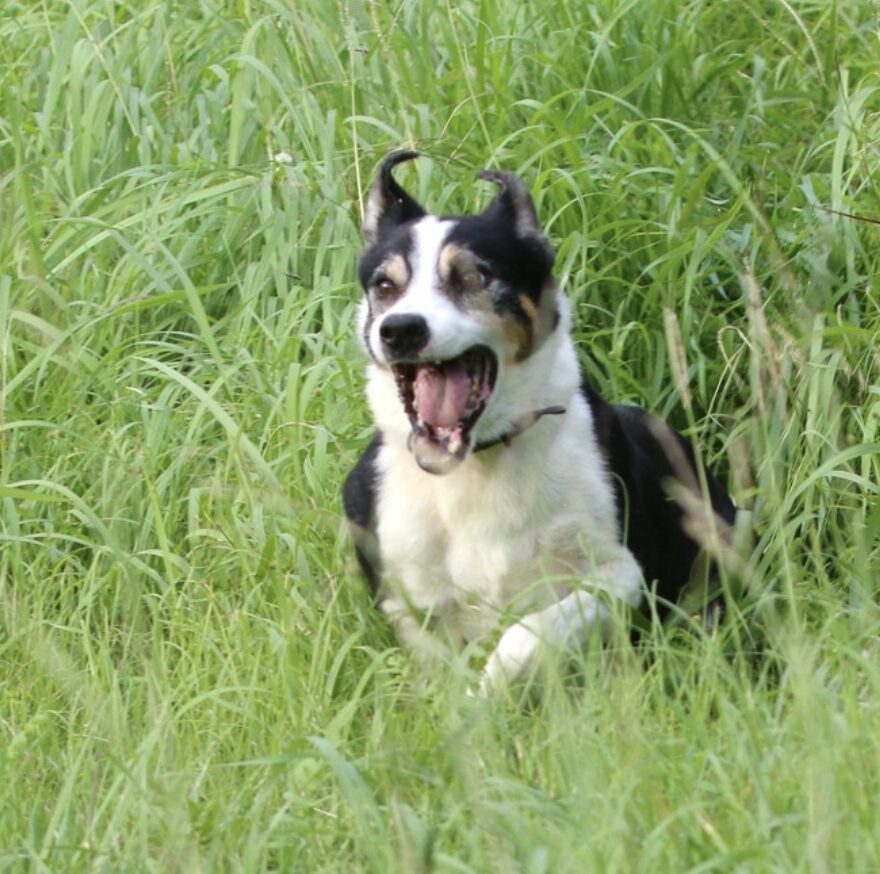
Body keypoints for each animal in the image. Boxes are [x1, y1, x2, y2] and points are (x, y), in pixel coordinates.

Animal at [344, 155, 736, 688]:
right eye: (385, 285)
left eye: (473, 276)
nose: (400, 329)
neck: (477, 465)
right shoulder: (409, 604)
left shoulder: (621, 575)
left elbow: (526, 634)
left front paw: (490, 689)